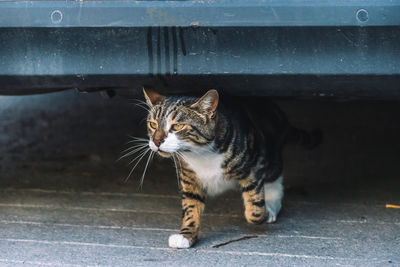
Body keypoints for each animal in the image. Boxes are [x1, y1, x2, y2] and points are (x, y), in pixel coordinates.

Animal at [141, 89, 322, 250]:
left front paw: (261, 213)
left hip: (270, 151)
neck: (200, 154)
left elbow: (254, 209)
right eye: (152, 124)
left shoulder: (254, 164)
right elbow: (191, 206)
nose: (156, 141)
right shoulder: (188, 176)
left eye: (177, 126)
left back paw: (271, 204)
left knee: (274, 174)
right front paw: (186, 235)